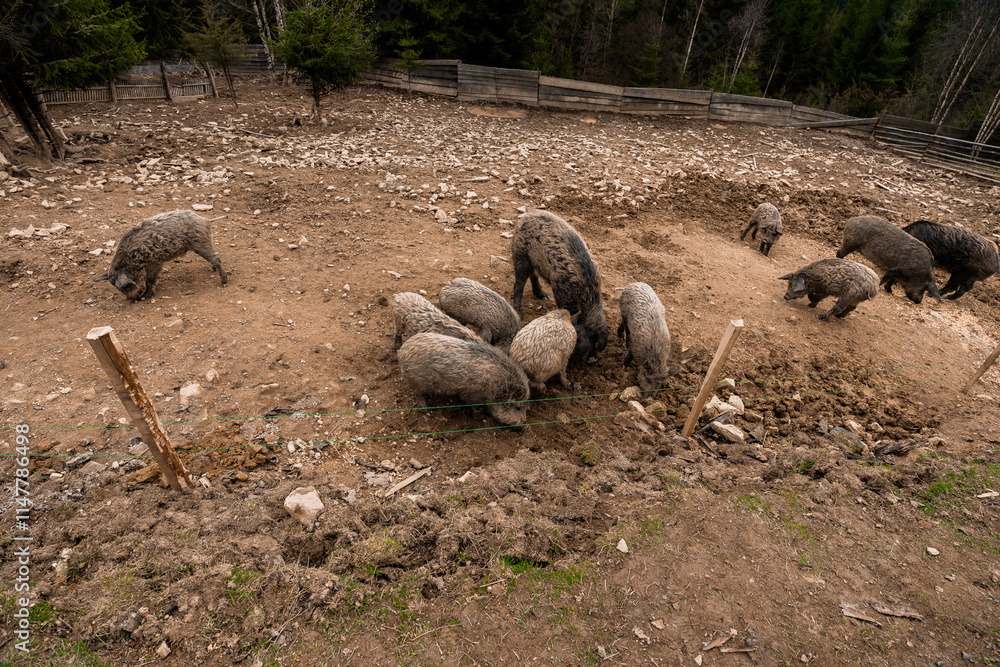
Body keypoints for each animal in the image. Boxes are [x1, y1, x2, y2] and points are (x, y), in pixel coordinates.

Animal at [93, 210, 227, 300]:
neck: (132, 260)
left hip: (199, 242)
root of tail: (205, 220)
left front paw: (148, 296)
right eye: (118, 289)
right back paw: (213, 270)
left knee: (216, 258)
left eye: (125, 287)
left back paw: (224, 282)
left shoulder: (155, 262)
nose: (132, 299)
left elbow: (150, 280)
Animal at [397, 332, 530, 426]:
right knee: (419, 395)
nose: (524, 421)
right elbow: (477, 408)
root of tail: (402, 351)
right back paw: (428, 411)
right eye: (518, 407)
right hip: (417, 382)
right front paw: (482, 418)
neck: (498, 386)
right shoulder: (473, 395)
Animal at [511, 209, 608, 363]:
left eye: (596, 339)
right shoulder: (560, 291)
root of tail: (526, 216)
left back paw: (543, 295)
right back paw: (518, 312)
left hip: (535, 261)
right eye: (579, 337)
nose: (592, 360)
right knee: (518, 284)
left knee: (533, 275)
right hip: (521, 255)